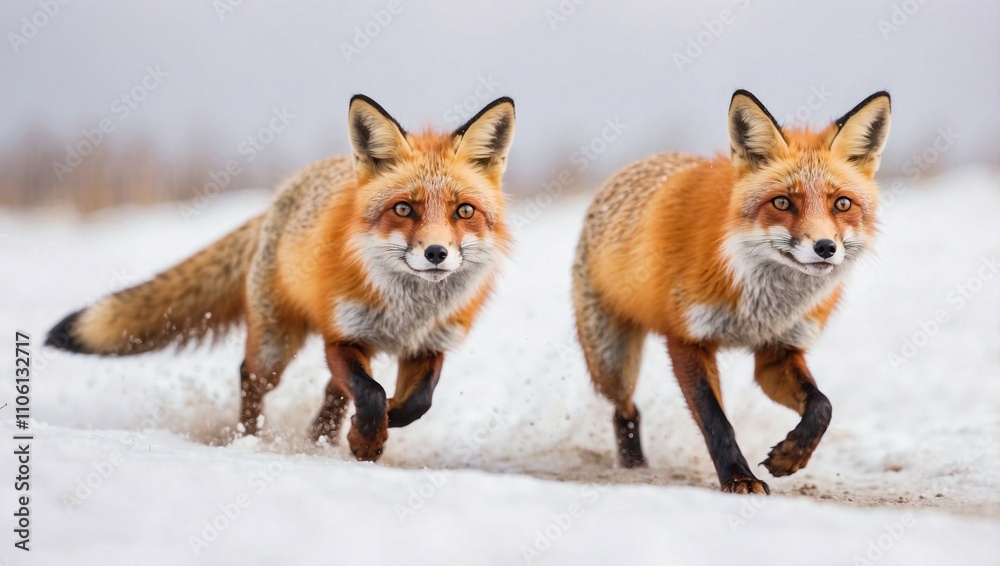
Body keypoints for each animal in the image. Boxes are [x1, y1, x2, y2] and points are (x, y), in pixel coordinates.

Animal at [45, 94, 516, 461]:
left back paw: (319, 438)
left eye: (464, 211)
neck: (409, 311)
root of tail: (278, 198)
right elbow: (370, 394)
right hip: (274, 345)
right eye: (403, 209)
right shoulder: (341, 335)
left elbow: (416, 401)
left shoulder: (430, 344)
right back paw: (251, 441)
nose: (436, 254)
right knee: (251, 379)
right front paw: (367, 440)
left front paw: (377, 428)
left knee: (332, 393)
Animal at [573, 90, 891, 494]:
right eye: (782, 202)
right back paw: (635, 466)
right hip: (611, 362)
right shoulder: (688, 340)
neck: (760, 307)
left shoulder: (778, 351)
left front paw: (791, 456)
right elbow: (717, 422)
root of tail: (638, 164)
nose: (825, 248)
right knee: (626, 408)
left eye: (843, 204)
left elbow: (822, 406)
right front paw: (739, 477)